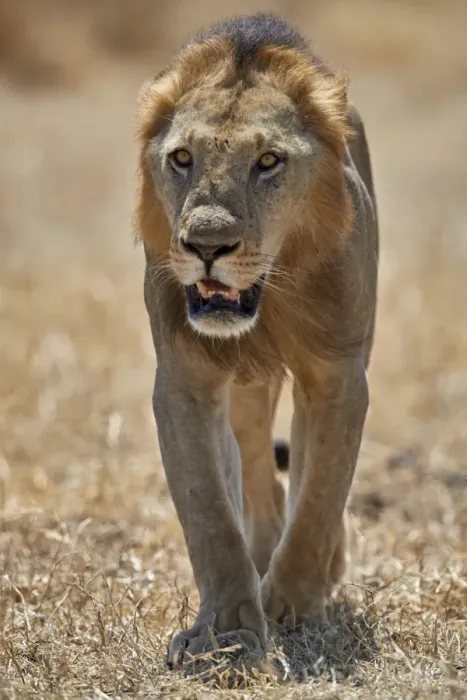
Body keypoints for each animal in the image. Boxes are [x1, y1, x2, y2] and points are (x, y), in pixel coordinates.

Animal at [135, 13, 378, 667]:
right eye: (182, 158)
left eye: (268, 161)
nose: (207, 246)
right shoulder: (184, 380)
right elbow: (210, 514)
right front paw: (225, 632)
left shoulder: (338, 375)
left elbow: (319, 496)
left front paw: (293, 609)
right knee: (254, 467)